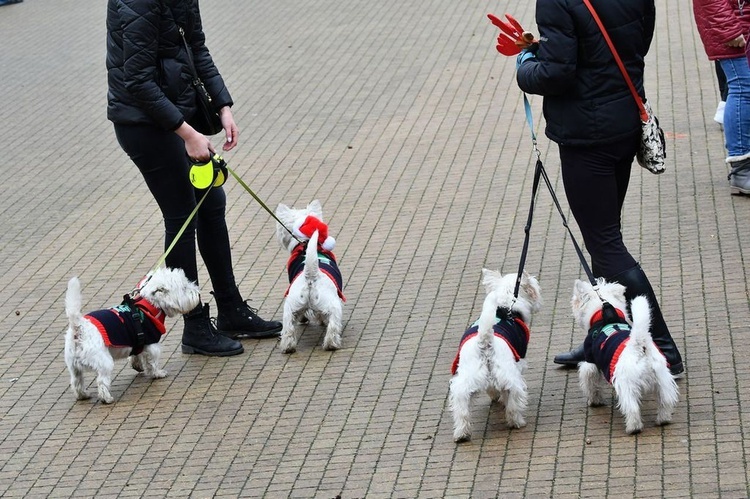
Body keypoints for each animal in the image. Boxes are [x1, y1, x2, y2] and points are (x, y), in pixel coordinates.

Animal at [63, 268, 201, 404]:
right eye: (184, 287)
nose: (198, 293)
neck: (150, 306)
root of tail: (79, 327)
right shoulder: (152, 344)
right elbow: (152, 362)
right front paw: (157, 373)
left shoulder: (137, 341)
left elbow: (136, 355)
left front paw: (137, 365)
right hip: (104, 362)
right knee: (101, 381)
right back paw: (107, 398)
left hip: (73, 365)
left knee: (76, 381)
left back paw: (83, 395)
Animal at [276, 200, 346, 356]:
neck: (305, 243)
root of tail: (311, 277)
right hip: (333, 305)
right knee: (332, 325)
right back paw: (331, 344)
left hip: (290, 307)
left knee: (288, 329)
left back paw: (288, 347)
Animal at [450, 272, 544, 444]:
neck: (507, 306)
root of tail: (485, 341)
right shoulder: (519, 361)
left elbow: (491, 388)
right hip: (509, 375)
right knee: (513, 401)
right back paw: (517, 422)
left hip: (465, 380)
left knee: (462, 409)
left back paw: (461, 434)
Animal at [576, 280, 680, 436]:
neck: (604, 316)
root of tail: (639, 345)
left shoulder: (590, 362)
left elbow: (591, 383)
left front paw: (595, 401)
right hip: (662, 379)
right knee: (666, 400)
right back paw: (663, 420)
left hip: (626, 384)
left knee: (632, 408)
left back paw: (633, 428)